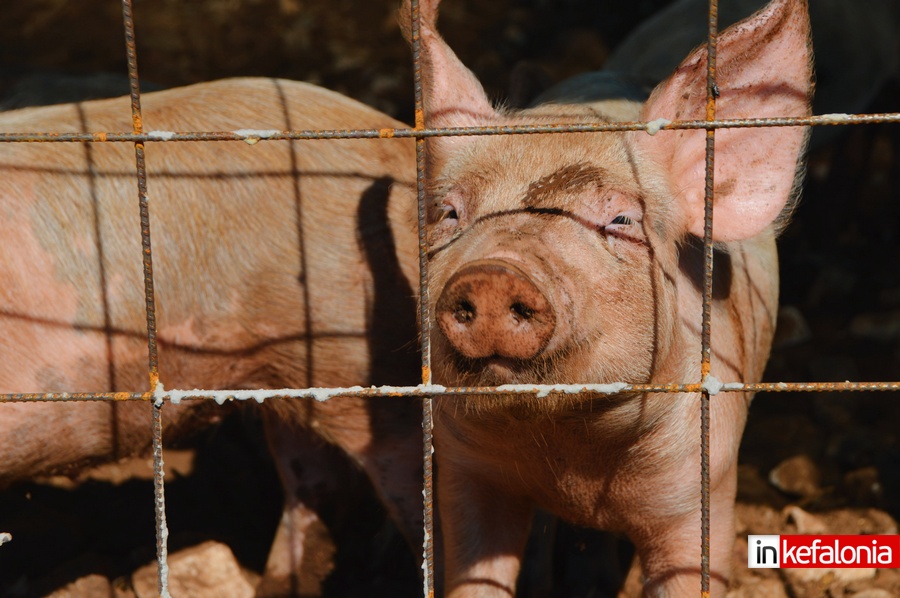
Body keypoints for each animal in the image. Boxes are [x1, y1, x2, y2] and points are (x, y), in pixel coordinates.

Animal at [400, 0, 816, 596]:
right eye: (451, 213)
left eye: (620, 220)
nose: (494, 273)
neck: (573, 452)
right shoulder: (465, 467)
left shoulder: (702, 484)